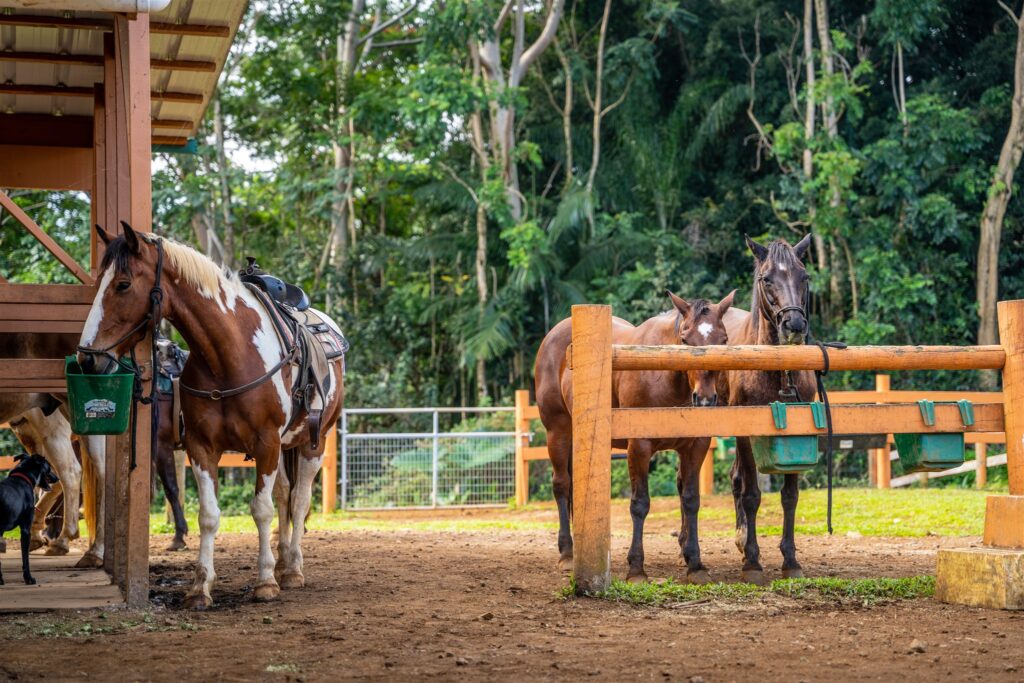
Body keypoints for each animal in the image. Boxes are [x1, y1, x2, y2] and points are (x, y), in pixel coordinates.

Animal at [78, 224, 345, 609]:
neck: (229, 354)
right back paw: (282, 562)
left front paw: (265, 582)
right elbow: (209, 515)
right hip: (285, 447)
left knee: (298, 501)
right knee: (284, 496)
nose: (87, 358)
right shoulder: (201, 448)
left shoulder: (265, 445)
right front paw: (200, 586)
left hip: (314, 443)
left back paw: (292, 569)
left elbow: (260, 509)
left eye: (123, 284)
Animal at [535, 290, 735, 582]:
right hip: (558, 432)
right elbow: (640, 504)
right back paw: (567, 554)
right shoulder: (639, 447)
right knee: (561, 485)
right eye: (685, 339)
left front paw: (695, 564)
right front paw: (636, 568)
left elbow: (690, 500)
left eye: (724, 340)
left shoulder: (695, 446)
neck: (664, 373)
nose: (706, 399)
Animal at [718, 234, 815, 585]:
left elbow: (790, 496)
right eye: (766, 279)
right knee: (738, 481)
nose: (794, 325)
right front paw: (753, 561)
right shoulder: (747, 433)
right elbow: (752, 495)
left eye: (804, 276)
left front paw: (790, 560)